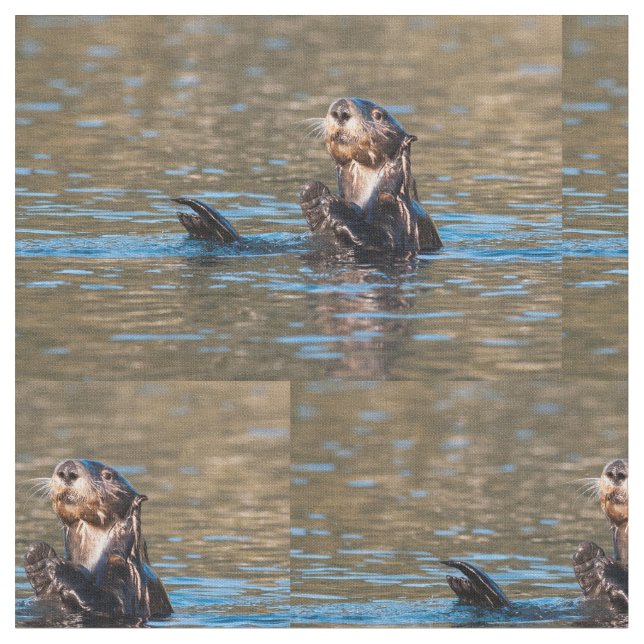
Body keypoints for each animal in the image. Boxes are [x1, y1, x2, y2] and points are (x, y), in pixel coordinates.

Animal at [24, 459, 172, 621]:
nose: (67, 470)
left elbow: (110, 604)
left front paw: (57, 566)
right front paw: (38, 556)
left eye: (108, 475)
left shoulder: (127, 574)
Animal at [173, 97, 442, 253]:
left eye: (379, 115)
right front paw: (312, 196)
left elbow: (381, 241)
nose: (341, 110)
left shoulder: (401, 217)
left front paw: (332, 204)